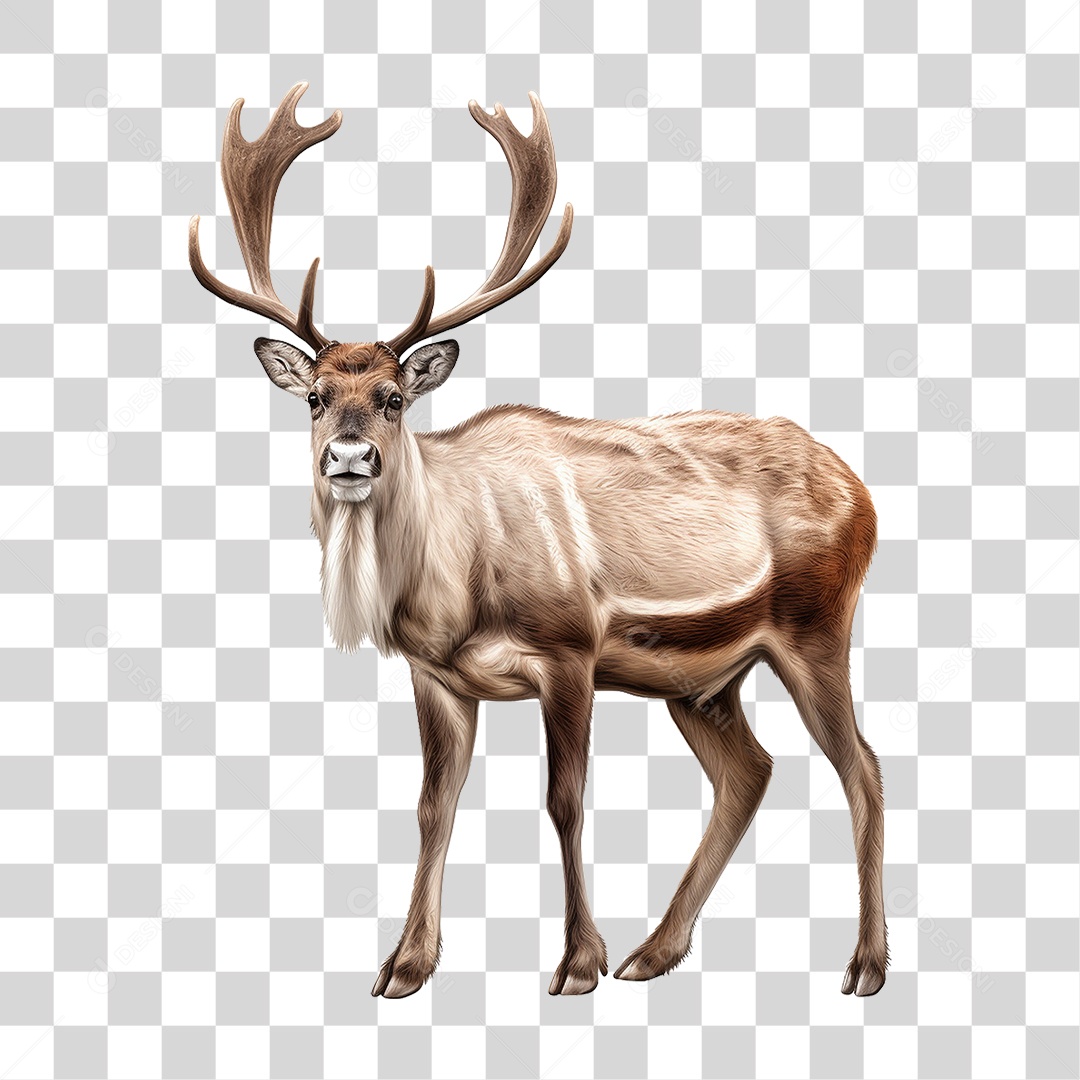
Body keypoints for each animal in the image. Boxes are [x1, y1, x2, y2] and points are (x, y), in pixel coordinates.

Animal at [189, 84, 886, 999]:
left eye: (393, 398)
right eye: (313, 397)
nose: (348, 458)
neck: (452, 590)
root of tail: (864, 494)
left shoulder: (569, 649)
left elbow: (564, 799)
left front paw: (575, 963)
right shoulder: (436, 677)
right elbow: (432, 806)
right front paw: (405, 965)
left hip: (817, 625)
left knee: (862, 769)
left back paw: (864, 964)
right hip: (702, 680)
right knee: (752, 771)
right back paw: (654, 952)